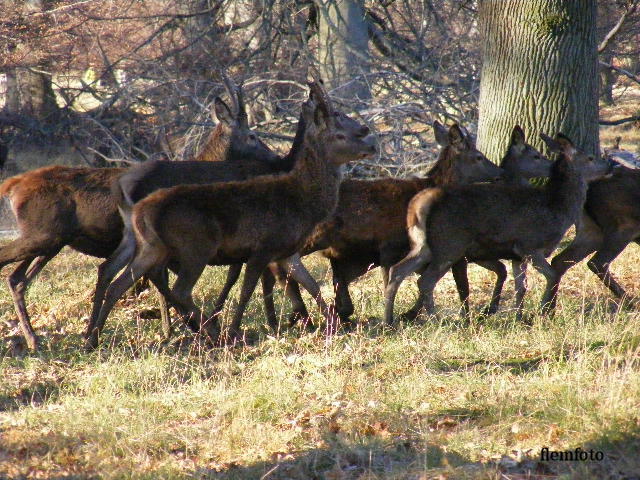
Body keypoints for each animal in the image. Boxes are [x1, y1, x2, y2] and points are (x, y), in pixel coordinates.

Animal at [0, 78, 278, 352]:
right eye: (252, 135)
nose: (275, 157)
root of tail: (13, 185)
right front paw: (178, 328)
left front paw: (175, 328)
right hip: (45, 235)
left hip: (51, 242)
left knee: (18, 279)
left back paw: (38, 339)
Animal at [89, 79, 380, 348]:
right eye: (339, 131)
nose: (371, 141)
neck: (302, 201)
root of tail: (138, 210)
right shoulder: (262, 247)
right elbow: (246, 290)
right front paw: (239, 328)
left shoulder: (286, 251)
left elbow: (310, 283)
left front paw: (331, 323)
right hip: (195, 246)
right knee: (178, 289)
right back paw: (209, 332)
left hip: (149, 246)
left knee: (116, 280)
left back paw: (94, 337)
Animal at [382, 133, 612, 324]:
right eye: (591, 158)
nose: (610, 166)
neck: (557, 208)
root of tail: (419, 204)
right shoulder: (529, 245)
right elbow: (553, 275)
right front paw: (543, 311)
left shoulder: (517, 256)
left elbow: (521, 286)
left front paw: (521, 317)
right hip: (450, 244)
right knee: (425, 280)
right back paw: (435, 319)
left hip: (424, 245)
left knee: (398, 270)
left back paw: (389, 320)